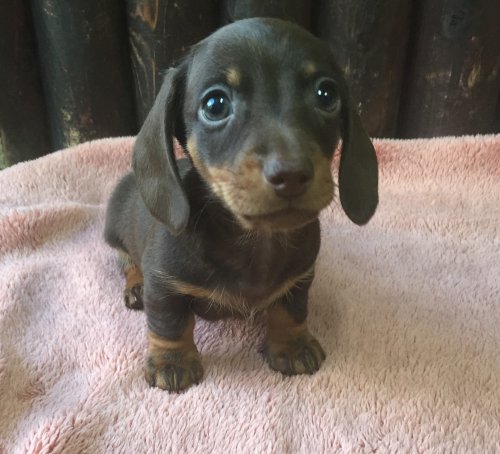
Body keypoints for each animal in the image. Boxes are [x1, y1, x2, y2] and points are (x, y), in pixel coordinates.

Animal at [104, 17, 378, 392]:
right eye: (215, 105)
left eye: (327, 95)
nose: (291, 174)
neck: (256, 241)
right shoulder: (164, 283)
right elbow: (169, 323)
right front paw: (172, 361)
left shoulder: (300, 278)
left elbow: (290, 310)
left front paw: (292, 344)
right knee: (126, 260)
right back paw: (135, 285)